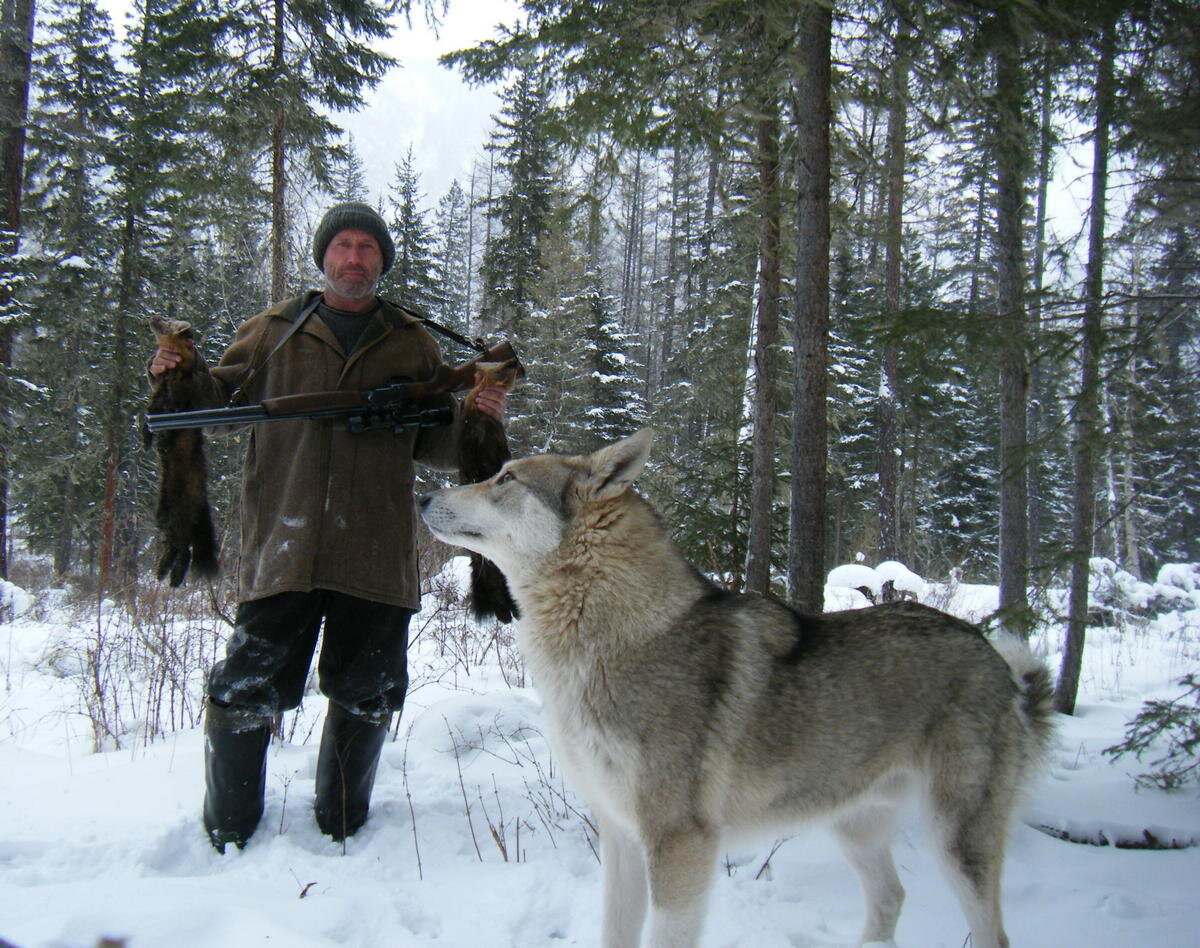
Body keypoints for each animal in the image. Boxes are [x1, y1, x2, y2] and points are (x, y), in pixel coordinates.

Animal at [417, 432, 1056, 948]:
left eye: (506, 477)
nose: (421, 496)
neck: (608, 639)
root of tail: (997, 661)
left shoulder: (680, 844)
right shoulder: (621, 839)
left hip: (957, 842)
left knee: (991, 934)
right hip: (855, 828)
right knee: (891, 901)